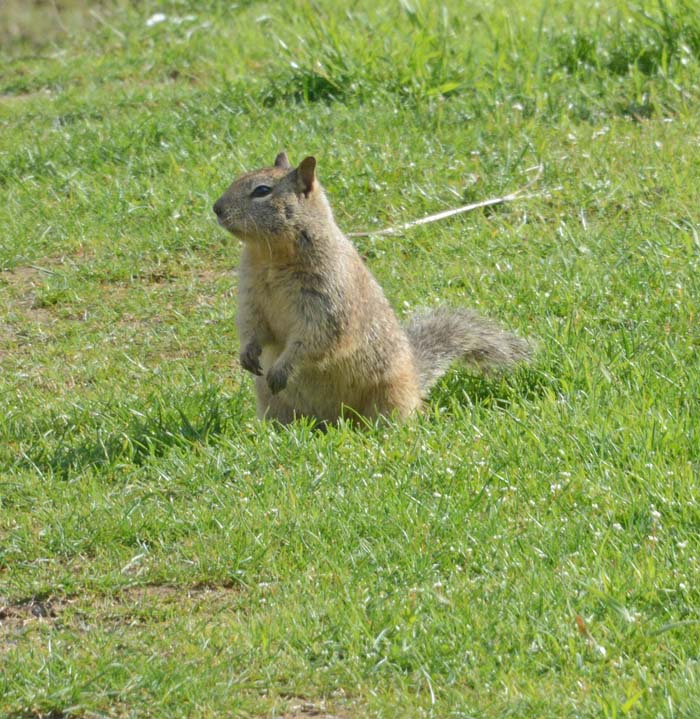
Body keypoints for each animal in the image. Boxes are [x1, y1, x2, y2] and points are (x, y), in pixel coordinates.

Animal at [213, 150, 532, 422]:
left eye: (262, 191)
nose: (216, 208)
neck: (270, 257)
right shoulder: (251, 296)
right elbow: (251, 325)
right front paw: (247, 353)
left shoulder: (327, 298)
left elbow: (315, 338)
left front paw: (282, 369)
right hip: (273, 402)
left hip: (388, 394)